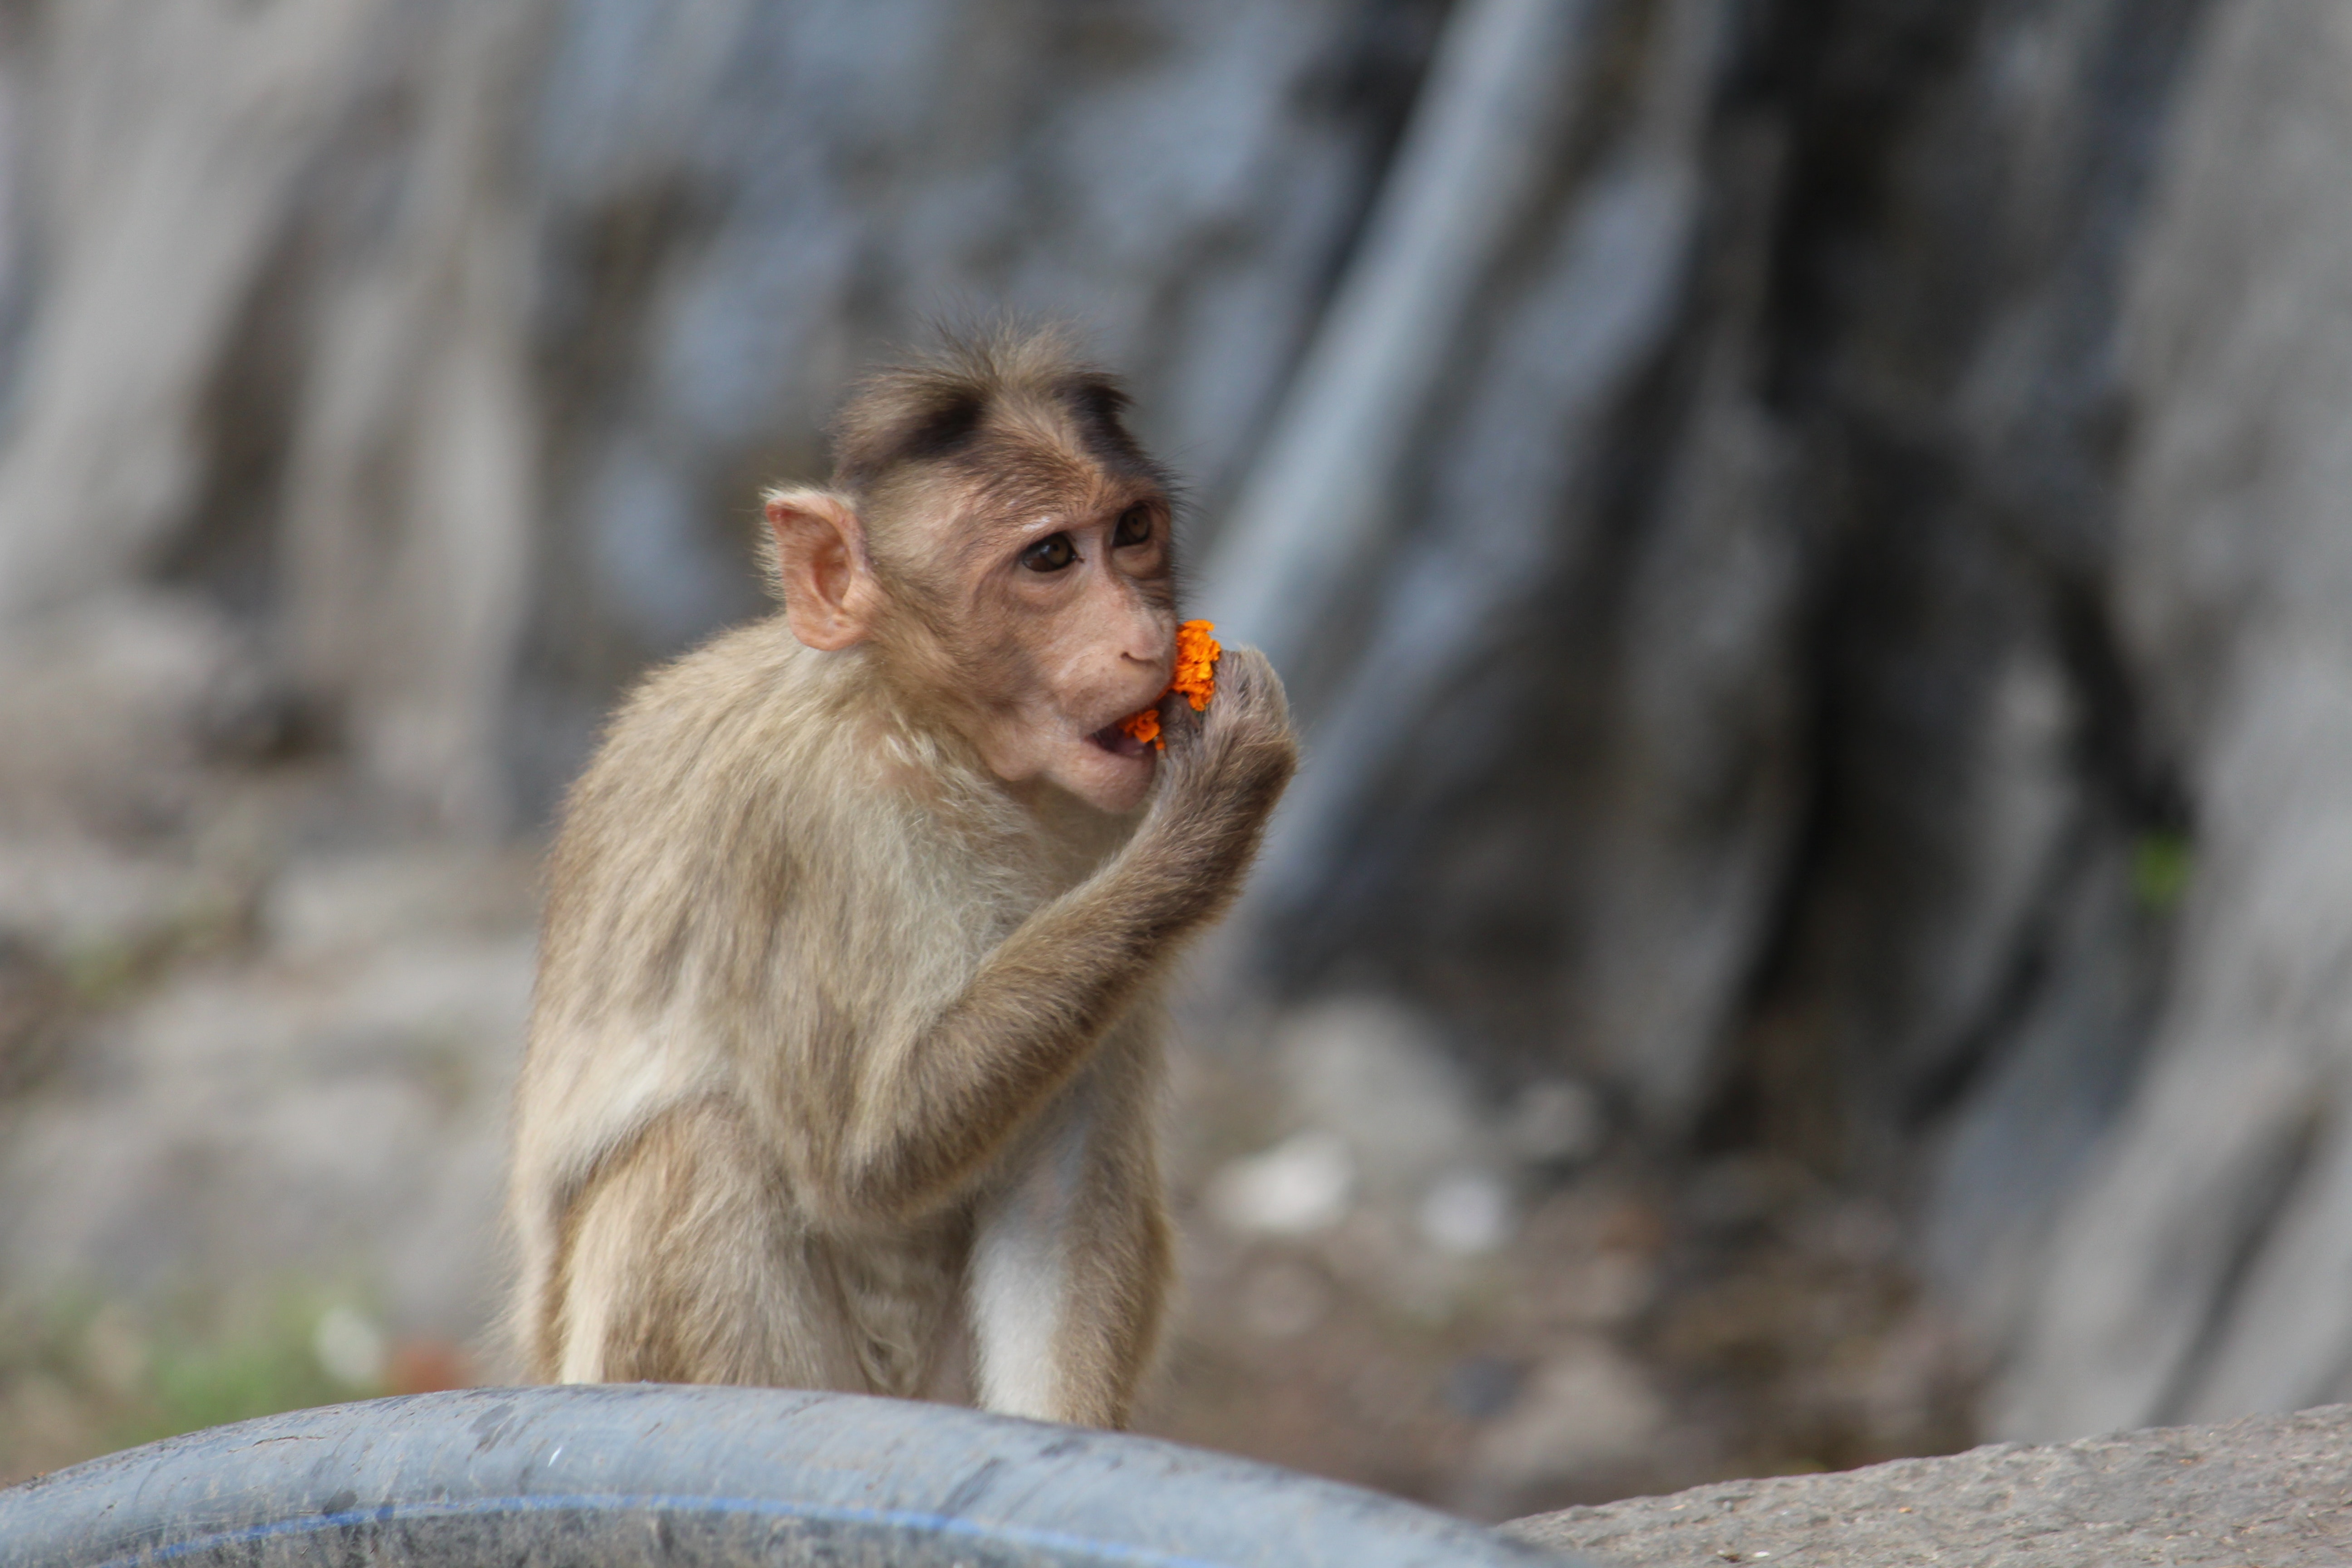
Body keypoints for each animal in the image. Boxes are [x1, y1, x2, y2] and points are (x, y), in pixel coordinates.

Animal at [503, 324, 1298, 1429]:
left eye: (1132, 530)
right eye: (1051, 557)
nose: (1143, 638)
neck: (940, 738)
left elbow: (1056, 1186)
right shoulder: (810, 821)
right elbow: (871, 1157)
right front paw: (1221, 795)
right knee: (702, 1147)